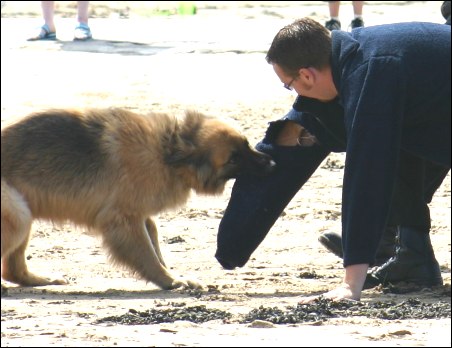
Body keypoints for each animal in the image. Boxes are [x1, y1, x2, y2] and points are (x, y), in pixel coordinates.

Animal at [0, 107, 276, 290]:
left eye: (246, 145)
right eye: (233, 158)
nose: (272, 163)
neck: (168, 152)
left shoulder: (140, 215)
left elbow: (154, 239)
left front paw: (171, 275)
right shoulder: (125, 220)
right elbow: (147, 254)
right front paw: (169, 281)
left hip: (24, 215)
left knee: (13, 270)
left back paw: (38, 280)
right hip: (18, 217)